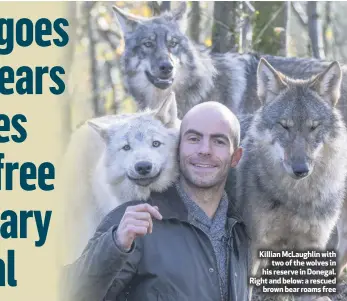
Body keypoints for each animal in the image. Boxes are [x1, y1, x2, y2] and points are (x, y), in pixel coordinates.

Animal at [231, 57, 347, 298]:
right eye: (284, 126)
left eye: (313, 127)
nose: (300, 169)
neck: (296, 198)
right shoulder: (254, 245)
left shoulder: (314, 245)